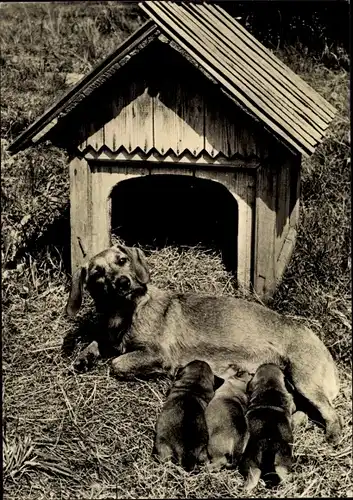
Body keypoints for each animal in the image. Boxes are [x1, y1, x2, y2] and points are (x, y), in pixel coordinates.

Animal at [64, 244, 340, 444]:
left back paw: (333, 436)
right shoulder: (110, 338)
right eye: (97, 274)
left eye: (122, 261)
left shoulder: (156, 354)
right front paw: (83, 358)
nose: (123, 283)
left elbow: (117, 363)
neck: (125, 312)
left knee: (331, 413)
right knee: (300, 410)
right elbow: (97, 343)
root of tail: (319, 343)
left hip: (304, 380)